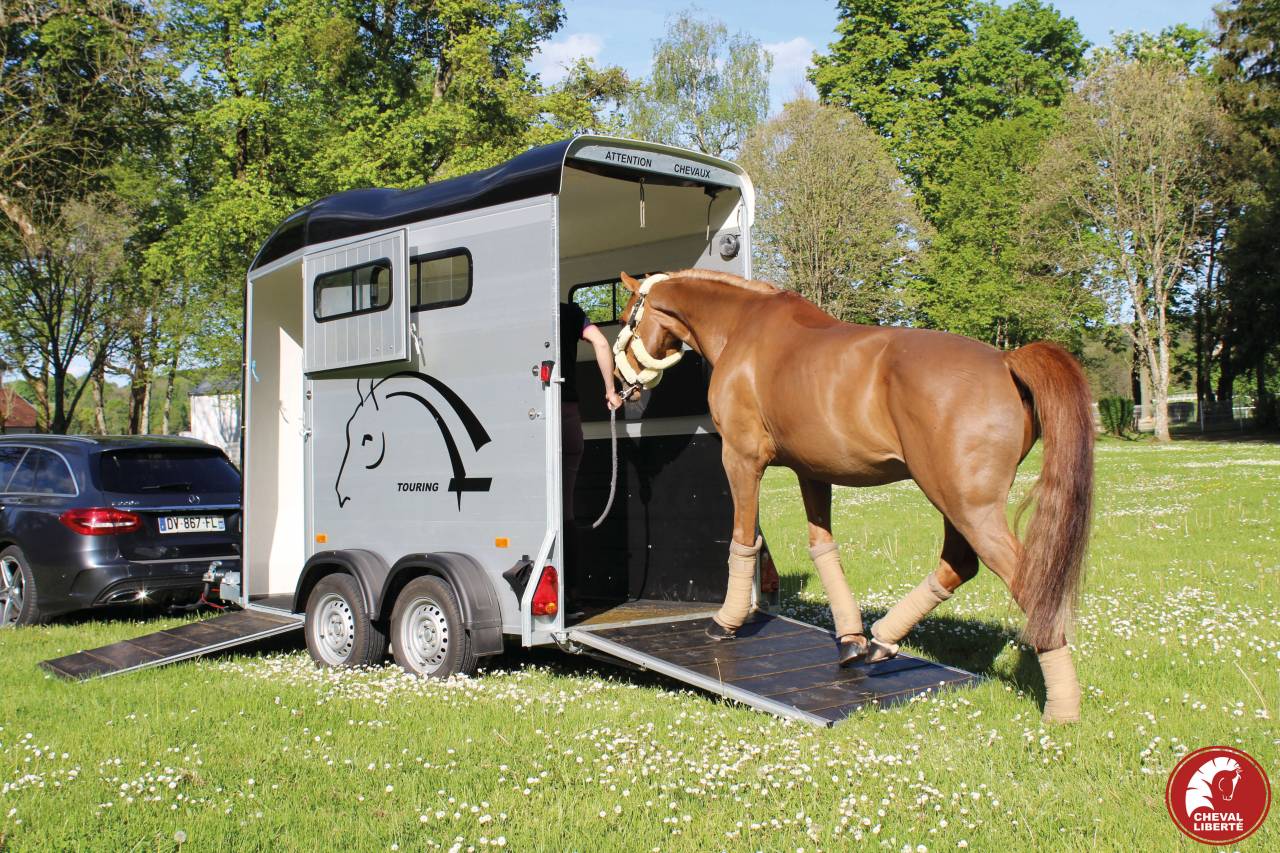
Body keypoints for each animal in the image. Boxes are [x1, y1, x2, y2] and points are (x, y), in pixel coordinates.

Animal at [612, 270, 1094, 723]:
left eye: (627, 315)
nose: (618, 381)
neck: (743, 327)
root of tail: (1005, 359)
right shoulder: (813, 472)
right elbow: (823, 549)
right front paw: (850, 639)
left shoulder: (742, 459)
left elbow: (743, 540)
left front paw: (725, 623)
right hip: (956, 503)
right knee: (959, 564)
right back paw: (881, 641)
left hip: (966, 506)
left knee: (1027, 582)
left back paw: (1062, 709)